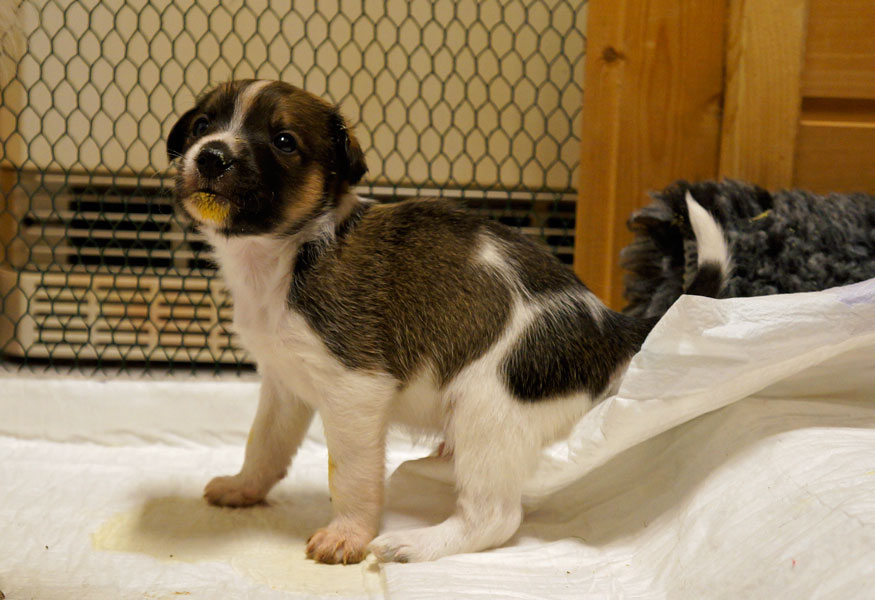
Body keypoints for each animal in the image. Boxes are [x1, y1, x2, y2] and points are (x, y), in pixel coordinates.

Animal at [166, 79, 731, 564]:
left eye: (284, 141)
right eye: (202, 125)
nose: (211, 155)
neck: (285, 253)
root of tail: (610, 326)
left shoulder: (355, 391)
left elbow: (350, 475)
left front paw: (347, 534)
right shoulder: (284, 384)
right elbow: (264, 444)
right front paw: (242, 488)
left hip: (489, 410)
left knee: (494, 517)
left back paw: (415, 544)